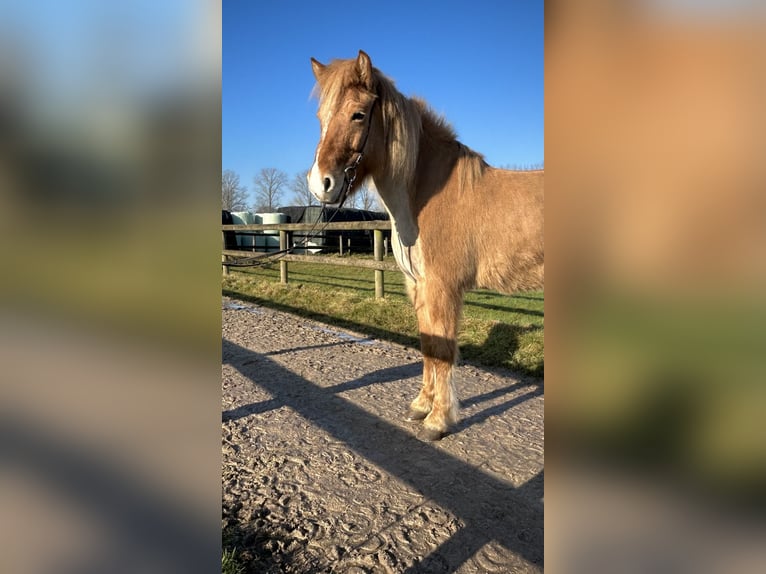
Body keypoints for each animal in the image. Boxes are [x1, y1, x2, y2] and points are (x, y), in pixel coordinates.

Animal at [308, 51, 544, 444]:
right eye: (320, 117)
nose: (320, 184)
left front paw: (439, 420)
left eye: (358, 114)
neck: (426, 197)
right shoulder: (418, 286)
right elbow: (429, 345)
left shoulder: (442, 288)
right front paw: (421, 406)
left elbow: (444, 350)